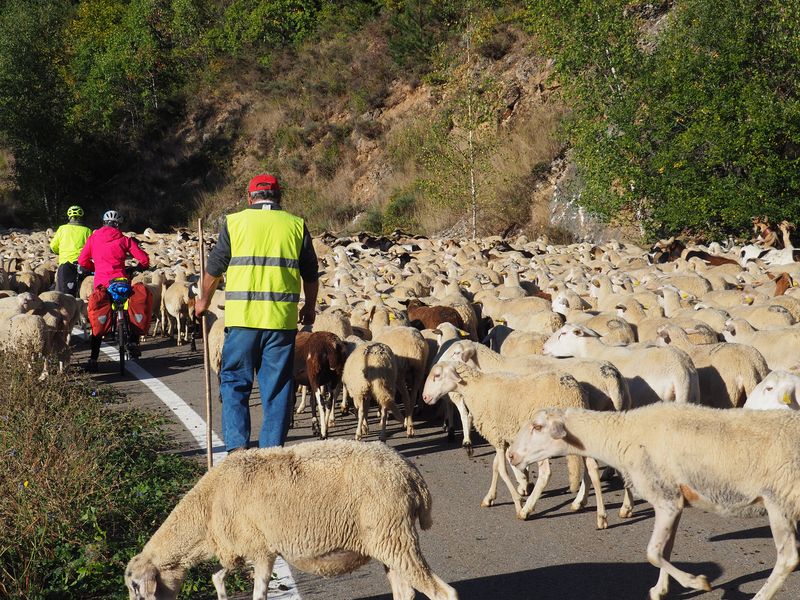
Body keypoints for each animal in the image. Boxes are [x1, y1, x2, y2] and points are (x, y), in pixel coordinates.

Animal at [125, 439, 458, 600]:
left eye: (136, 587)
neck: (205, 511)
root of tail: (409, 472)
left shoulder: (261, 551)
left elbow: (258, 593)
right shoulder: (243, 549)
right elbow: (218, 576)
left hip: (395, 537)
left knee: (444, 593)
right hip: (390, 541)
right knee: (405, 592)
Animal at [422, 361, 608, 528]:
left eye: (437, 375)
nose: (424, 398)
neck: (476, 388)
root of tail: (573, 393)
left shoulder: (496, 435)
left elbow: (502, 469)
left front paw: (518, 503)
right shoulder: (501, 437)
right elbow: (496, 466)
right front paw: (489, 497)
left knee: (546, 473)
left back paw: (527, 510)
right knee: (592, 467)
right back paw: (592, 511)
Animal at [508, 403, 800, 600]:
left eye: (537, 426)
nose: (510, 455)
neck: (622, 435)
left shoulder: (665, 498)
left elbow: (652, 553)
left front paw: (697, 582)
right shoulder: (675, 500)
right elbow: (665, 550)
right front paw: (661, 590)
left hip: (780, 501)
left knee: (788, 559)